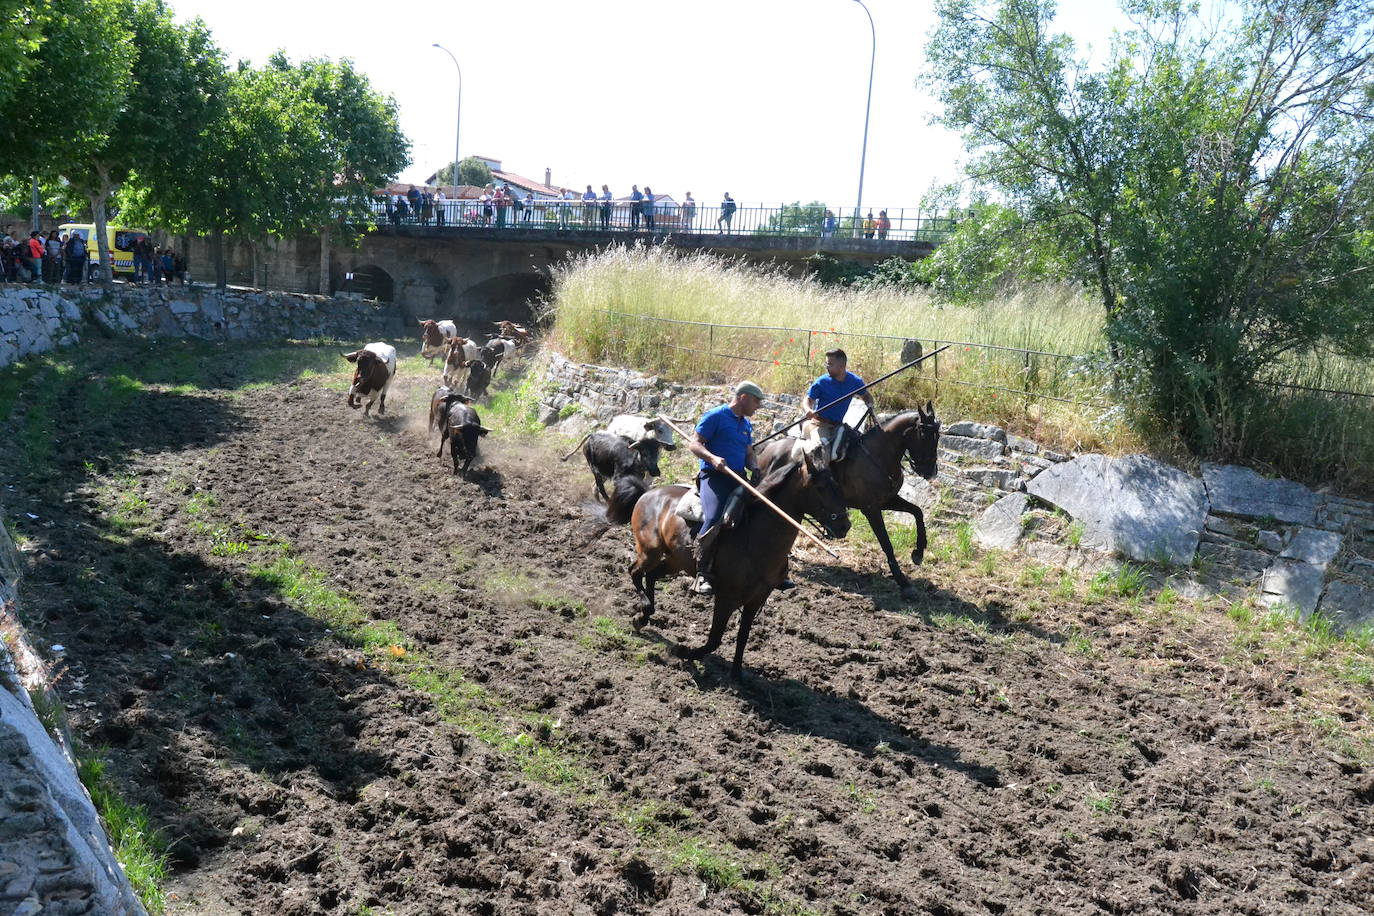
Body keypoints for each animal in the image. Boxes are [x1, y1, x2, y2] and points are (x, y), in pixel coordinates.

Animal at [629, 453, 846, 681]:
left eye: (837, 485)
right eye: (821, 487)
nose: (844, 525)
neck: (755, 537)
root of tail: (649, 493)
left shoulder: (756, 599)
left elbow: (743, 637)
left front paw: (737, 675)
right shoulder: (726, 598)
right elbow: (714, 639)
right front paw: (683, 651)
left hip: (675, 560)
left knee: (651, 575)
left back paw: (644, 616)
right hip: (650, 551)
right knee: (635, 572)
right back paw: (644, 611)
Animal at [758, 401, 939, 601]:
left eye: (938, 436)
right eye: (924, 435)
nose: (931, 471)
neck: (878, 455)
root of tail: (768, 448)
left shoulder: (887, 501)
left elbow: (917, 512)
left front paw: (919, 552)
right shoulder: (871, 509)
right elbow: (887, 544)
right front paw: (904, 582)